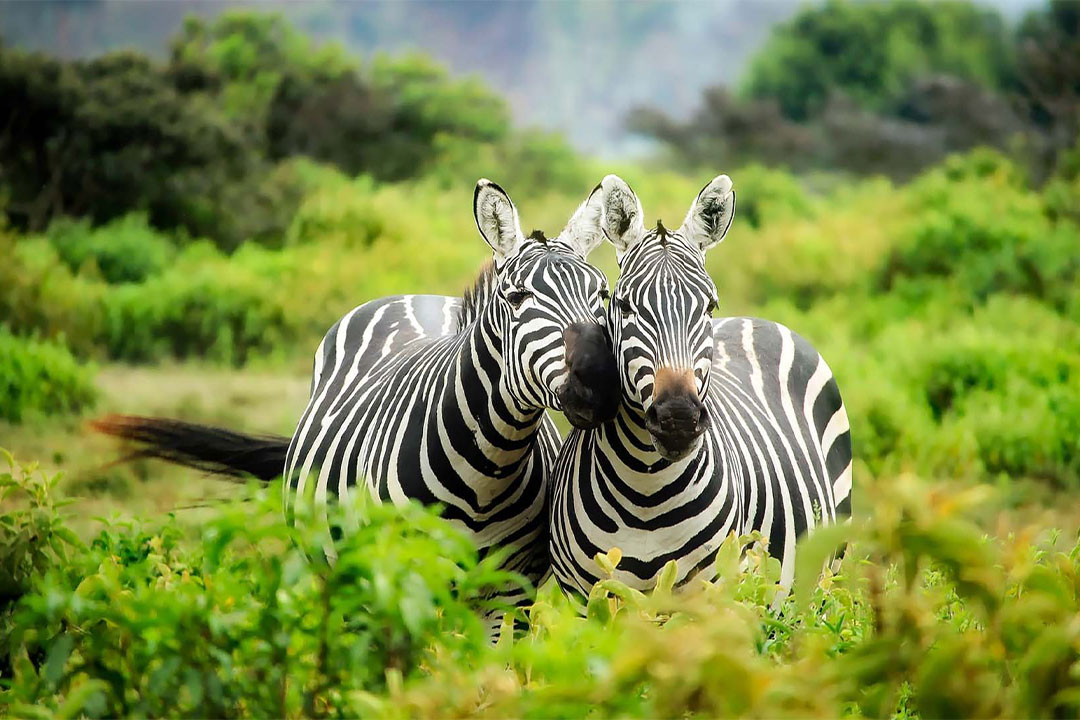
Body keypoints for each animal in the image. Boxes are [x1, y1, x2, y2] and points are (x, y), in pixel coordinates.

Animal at [94, 178, 621, 615]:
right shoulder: (400, 581)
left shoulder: (510, 595)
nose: (600, 383)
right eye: (516, 298)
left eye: (602, 295)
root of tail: (416, 297)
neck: (487, 472)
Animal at [549, 174, 852, 597]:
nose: (677, 418)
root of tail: (756, 319)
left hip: (825, 574)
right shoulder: (585, 597)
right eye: (623, 306)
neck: (646, 491)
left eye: (709, 306)